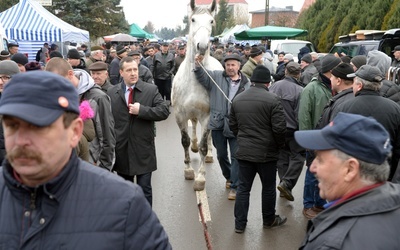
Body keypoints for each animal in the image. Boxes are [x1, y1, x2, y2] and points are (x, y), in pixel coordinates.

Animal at [170, 0, 223, 191]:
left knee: (208, 138)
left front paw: (200, 177)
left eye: (211, 21)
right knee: (192, 127)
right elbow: (185, 141)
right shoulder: (180, 115)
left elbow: (203, 146)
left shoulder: (207, 117)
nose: (202, 46)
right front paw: (188, 170)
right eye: (193, 19)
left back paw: (209, 155)